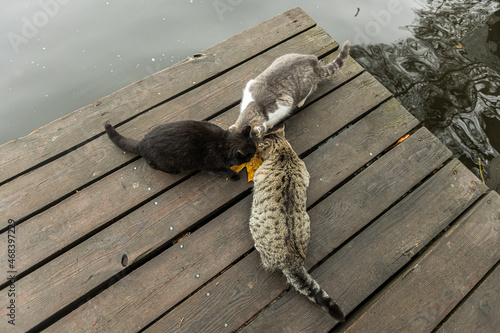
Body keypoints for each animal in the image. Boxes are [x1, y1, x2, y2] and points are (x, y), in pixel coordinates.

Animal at [104, 120, 256, 180]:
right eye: (251, 154)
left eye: (255, 147)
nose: (256, 152)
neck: (223, 142)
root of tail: (142, 142)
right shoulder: (213, 166)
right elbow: (224, 171)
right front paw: (234, 175)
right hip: (164, 163)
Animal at [249, 126, 344, 320]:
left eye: (259, 146)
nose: (257, 148)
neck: (283, 151)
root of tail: (292, 263)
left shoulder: (258, 175)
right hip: (306, 222)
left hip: (254, 223)